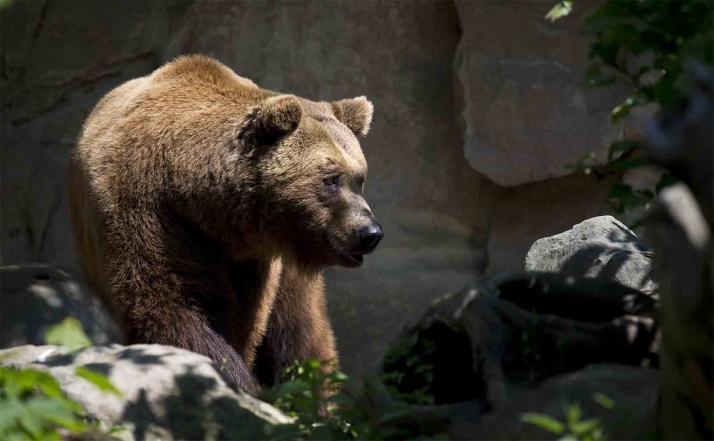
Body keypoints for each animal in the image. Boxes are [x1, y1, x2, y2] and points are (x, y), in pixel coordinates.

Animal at [67, 54, 383, 394]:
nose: (370, 233)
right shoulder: (151, 215)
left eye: (359, 178)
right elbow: (176, 307)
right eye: (331, 179)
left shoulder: (256, 261)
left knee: (301, 331)